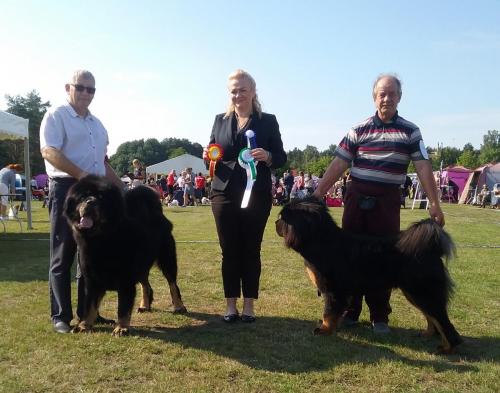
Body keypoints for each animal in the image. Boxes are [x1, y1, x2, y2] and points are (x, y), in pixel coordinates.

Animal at [64, 175, 186, 334]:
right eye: (82, 197)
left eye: (101, 197)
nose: (90, 201)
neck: (101, 240)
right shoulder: (92, 280)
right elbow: (89, 305)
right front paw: (84, 325)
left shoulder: (125, 280)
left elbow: (123, 308)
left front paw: (121, 328)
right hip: (142, 266)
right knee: (146, 286)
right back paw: (144, 305)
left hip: (167, 260)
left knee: (173, 285)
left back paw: (179, 306)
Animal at [276, 196, 462, 352]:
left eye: (284, 218)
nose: (276, 223)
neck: (321, 241)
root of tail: (431, 249)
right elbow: (334, 314)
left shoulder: (334, 291)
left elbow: (328, 312)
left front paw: (324, 330)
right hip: (415, 293)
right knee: (432, 317)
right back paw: (428, 334)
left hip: (423, 292)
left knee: (442, 321)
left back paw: (448, 348)